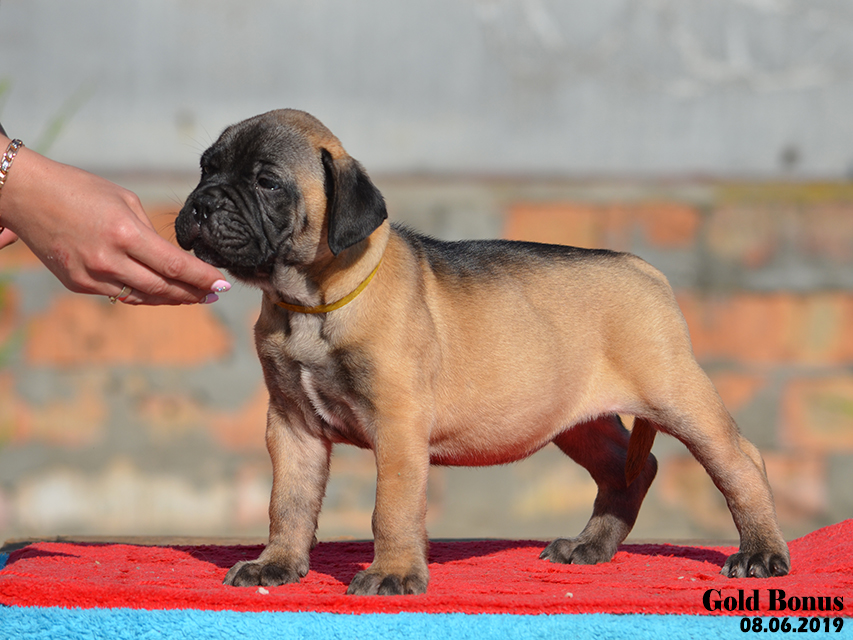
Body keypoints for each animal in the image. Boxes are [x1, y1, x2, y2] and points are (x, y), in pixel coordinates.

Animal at [175, 109, 792, 596]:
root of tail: (645, 270)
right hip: (577, 421)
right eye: (206, 168)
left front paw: (393, 574)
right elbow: (289, 501)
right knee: (629, 471)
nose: (201, 204)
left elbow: (392, 506)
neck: (307, 302)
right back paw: (591, 546)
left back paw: (761, 553)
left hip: (677, 395)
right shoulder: (293, 425)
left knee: (741, 462)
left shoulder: (397, 425)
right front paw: (276, 564)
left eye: (267, 182)